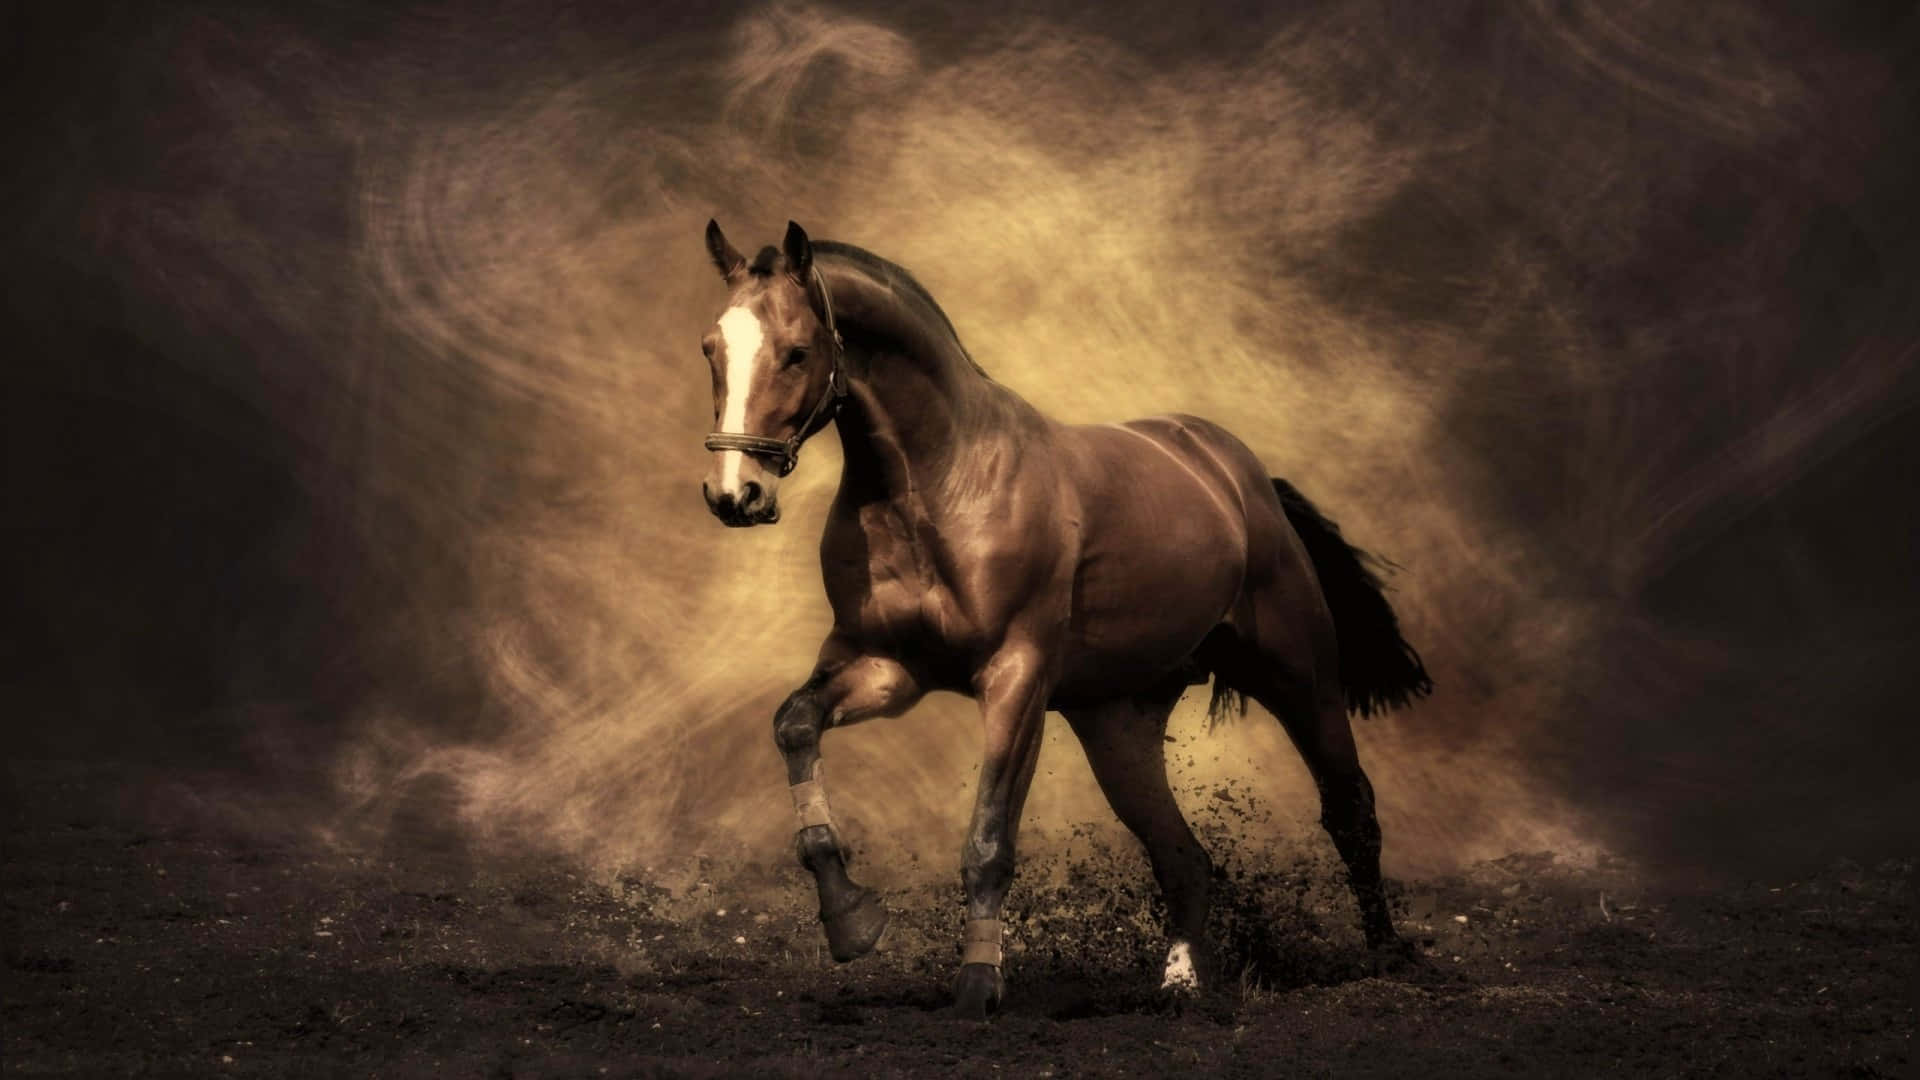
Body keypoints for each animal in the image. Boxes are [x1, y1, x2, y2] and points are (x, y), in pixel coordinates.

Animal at [695, 219, 1433, 1018]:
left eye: (798, 350)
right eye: (711, 348)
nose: (735, 494)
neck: (939, 485)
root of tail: (1241, 477)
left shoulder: (1016, 679)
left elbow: (989, 841)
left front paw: (977, 987)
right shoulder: (886, 668)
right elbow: (795, 725)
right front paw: (852, 922)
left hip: (1299, 677)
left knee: (1350, 810)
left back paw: (1387, 957)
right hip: (1118, 724)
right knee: (1183, 856)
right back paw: (1180, 984)